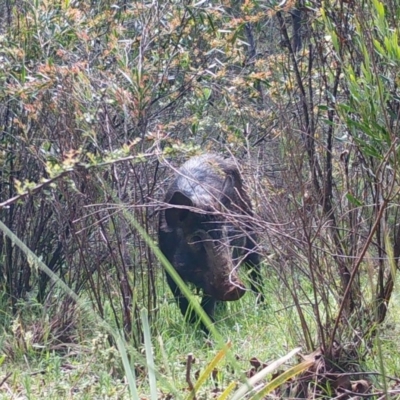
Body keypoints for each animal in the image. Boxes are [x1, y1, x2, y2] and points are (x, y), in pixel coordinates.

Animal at [159, 153, 262, 328]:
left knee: (256, 273)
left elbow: (207, 302)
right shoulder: (169, 269)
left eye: (229, 235)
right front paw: (193, 327)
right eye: (195, 239)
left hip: (251, 233)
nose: (234, 288)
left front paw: (206, 330)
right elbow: (183, 302)